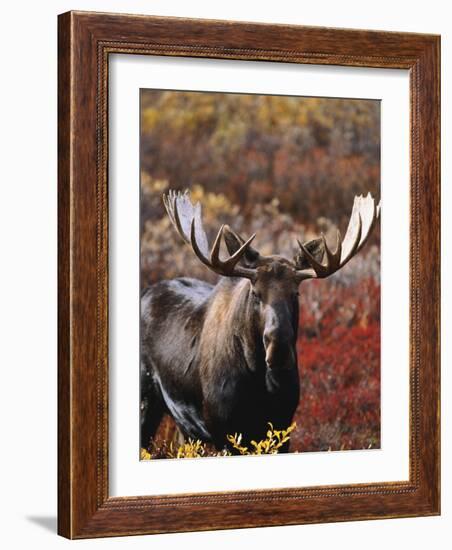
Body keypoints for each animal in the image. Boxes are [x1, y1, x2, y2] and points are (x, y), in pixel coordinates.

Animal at [139, 192, 380, 454]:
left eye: (296, 293)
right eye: (255, 293)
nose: (279, 349)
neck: (259, 383)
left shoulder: (282, 426)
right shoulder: (223, 431)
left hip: (186, 428)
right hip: (146, 401)